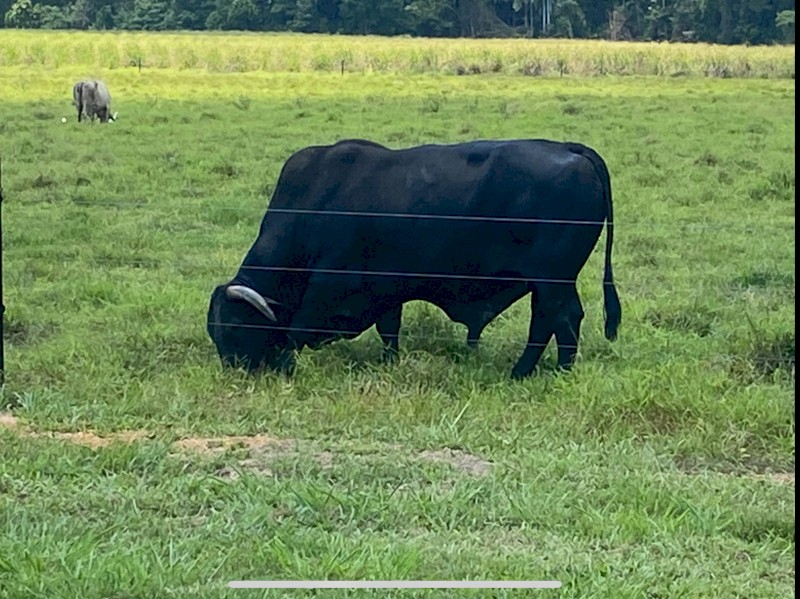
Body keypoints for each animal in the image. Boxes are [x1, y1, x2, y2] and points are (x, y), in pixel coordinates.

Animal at [207, 138, 621, 379]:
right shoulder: (386, 290)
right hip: (551, 283)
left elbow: (295, 330)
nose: (234, 369)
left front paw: (285, 363)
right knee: (558, 320)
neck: (312, 205)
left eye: (234, 326)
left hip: (552, 282)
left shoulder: (331, 285)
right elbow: (390, 330)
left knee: (555, 321)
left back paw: (535, 372)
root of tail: (571, 149)